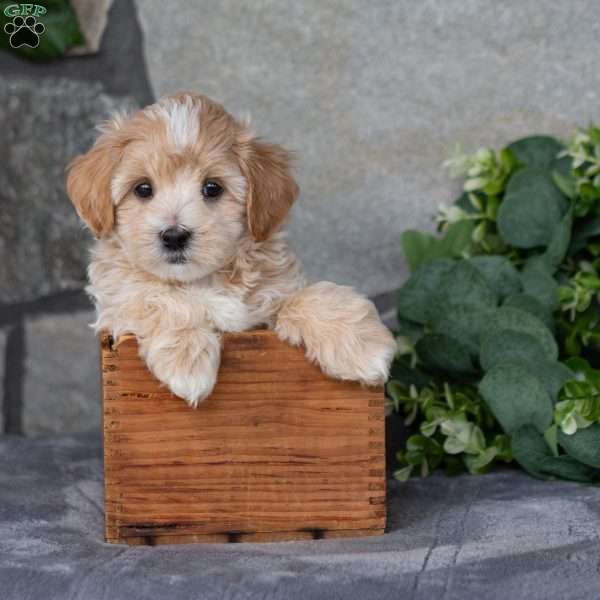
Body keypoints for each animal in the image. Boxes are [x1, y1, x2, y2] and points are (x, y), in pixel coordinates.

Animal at [67, 91, 398, 406]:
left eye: (212, 188)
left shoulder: (265, 307)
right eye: (143, 189)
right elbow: (159, 297)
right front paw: (187, 359)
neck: (204, 280)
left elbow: (306, 297)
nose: (174, 236)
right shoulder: (116, 304)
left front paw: (361, 345)